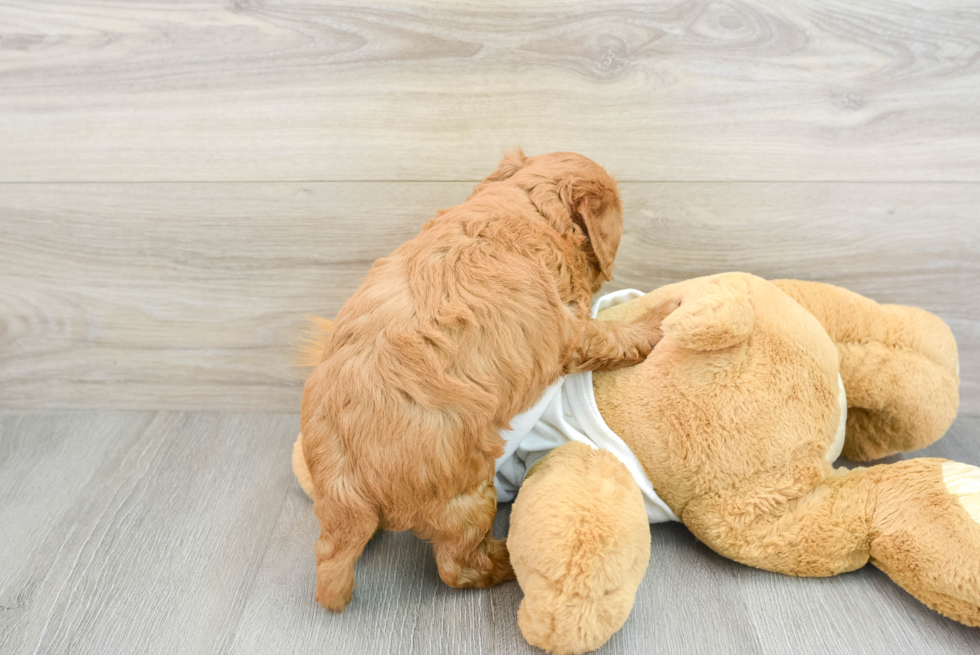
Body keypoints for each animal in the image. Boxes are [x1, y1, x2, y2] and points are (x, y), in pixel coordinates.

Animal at [302, 151, 676, 612]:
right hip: (468, 496)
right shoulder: (570, 329)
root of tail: (346, 490)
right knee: (458, 566)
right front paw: (656, 320)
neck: (527, 205)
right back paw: (505, 560)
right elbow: (612, 336)